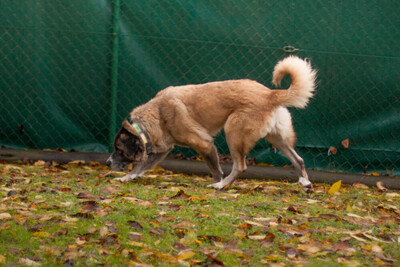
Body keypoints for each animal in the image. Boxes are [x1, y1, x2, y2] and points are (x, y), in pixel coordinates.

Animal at [106, 56, 316, 193]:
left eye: (119, 149)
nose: (107, 163)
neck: (157, 113)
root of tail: (270, 94)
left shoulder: (204, 144)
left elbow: (216, 170)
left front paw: (217, 182)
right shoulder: (163, 150)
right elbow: (139, 167)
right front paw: (125, 178)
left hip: (233, 132)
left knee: (240, 166)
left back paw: (221, 186)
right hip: (278, 139)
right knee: (299, 159)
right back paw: (305, 182)